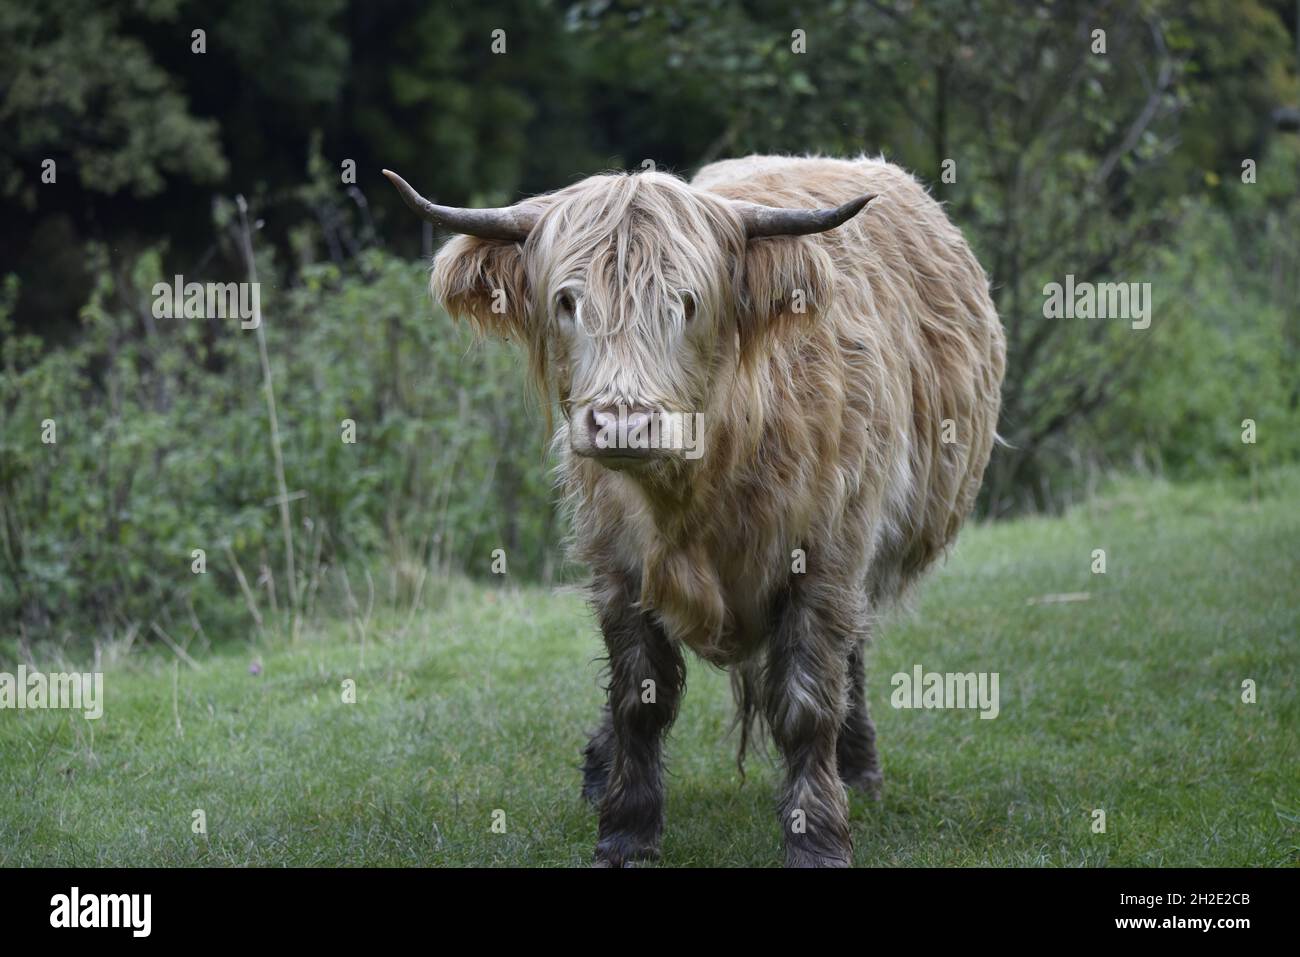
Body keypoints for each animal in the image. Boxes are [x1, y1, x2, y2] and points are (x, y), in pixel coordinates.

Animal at [384, 155, 1003, 868]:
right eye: (568, 301)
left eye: (687, 303)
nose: (624, 423)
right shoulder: (617, 566)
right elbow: (637, 697)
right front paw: (626, 828)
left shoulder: (828, 557)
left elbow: (808, 704)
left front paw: (817, 837)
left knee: (851, 660)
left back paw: (859, 768)